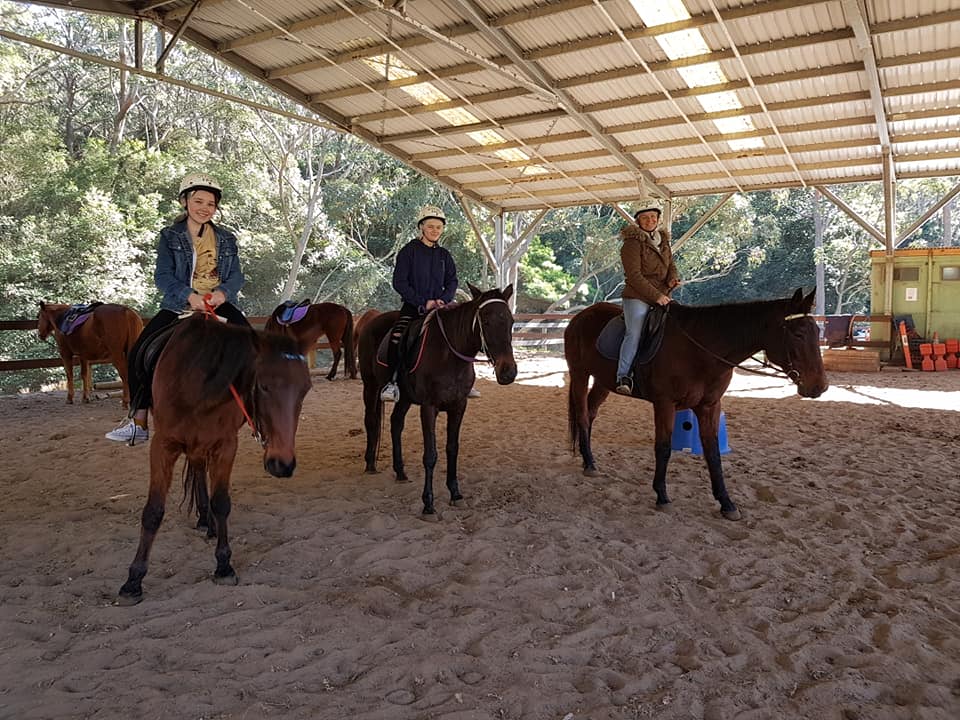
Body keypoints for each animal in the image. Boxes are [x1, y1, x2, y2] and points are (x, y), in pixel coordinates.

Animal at [116, 314, 312, 600]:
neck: (197, 382)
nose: (282, 464)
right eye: (263, 386)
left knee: (199, 470)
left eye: (305, 389)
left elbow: (221, 503)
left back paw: (207, 522)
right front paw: (133, 581)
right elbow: (153, 511)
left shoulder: (225, 446)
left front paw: (223, 566)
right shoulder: (162, 446)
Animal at [360, 284, 520, 520]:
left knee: (396, 423)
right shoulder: (429, 408)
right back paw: (370, 463)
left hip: (405, 398)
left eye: (510, 321)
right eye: (485, 321)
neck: (449, 356)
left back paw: (400, 471)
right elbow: (430, 455)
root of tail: (371, 319)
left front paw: (455, 494)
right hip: (370, 386)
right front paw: (428, 504)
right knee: (371, 421)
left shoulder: (459, 406)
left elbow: (452, 448)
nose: (507, 372)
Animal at [568, 290, 828, 520]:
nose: (820, 386)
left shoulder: (709, 406)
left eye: (816, 331)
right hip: (580, 374)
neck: (700, 350)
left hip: (603, 382)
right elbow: (663, 448)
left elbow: (712, 452)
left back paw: (589, 459)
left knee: (590, 412)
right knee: (582, 415)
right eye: (798, 334)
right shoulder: (665, 404)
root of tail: (580, 317)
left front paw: (727, 503)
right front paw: (662, 496)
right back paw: (589, 464)